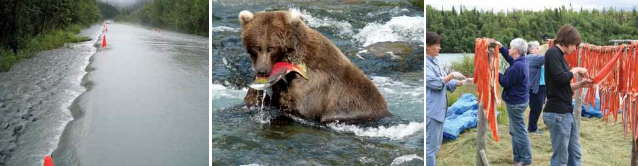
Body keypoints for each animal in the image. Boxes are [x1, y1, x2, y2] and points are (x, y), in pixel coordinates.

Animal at [239, 9, 392, 123]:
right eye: (256, 47)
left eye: (272, 47)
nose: (262, 71)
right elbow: (254, 98)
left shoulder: (314, 83)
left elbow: (300, 108)